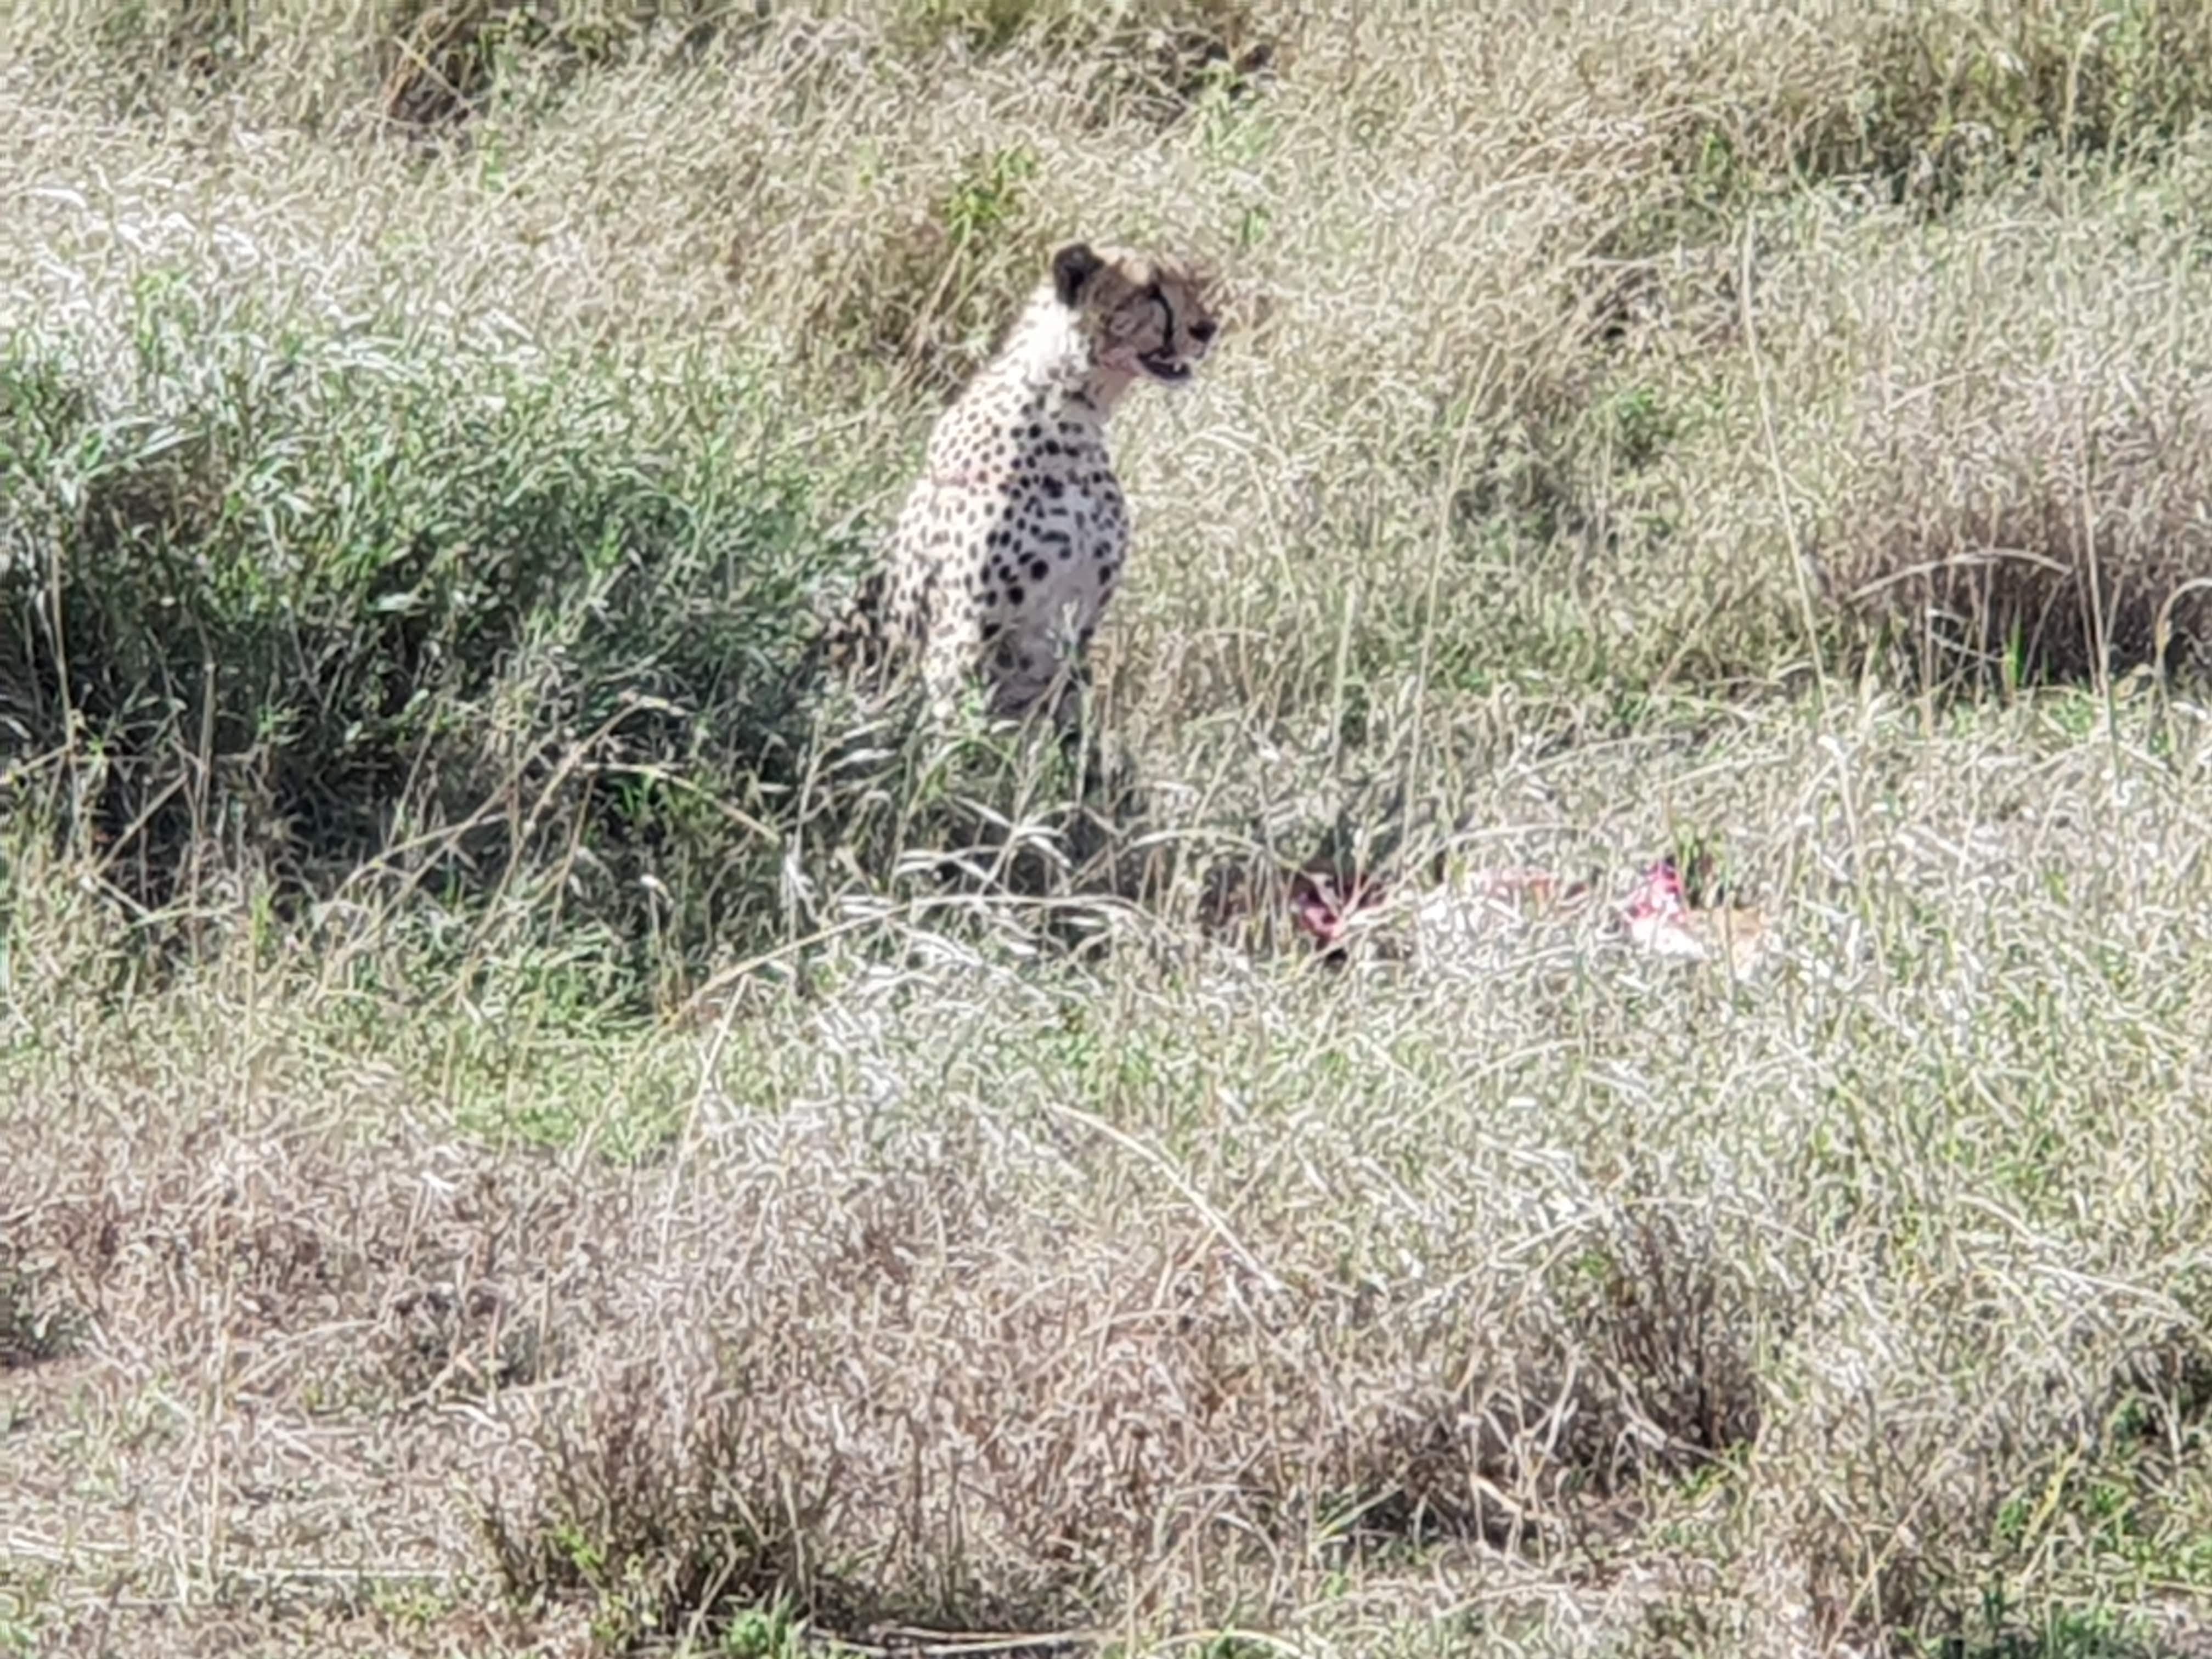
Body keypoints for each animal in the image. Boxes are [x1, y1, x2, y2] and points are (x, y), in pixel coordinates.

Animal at [826, 239, 1221, 729]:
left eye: (1191, 282)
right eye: (1150, 291)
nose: (1207, 328)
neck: (1072, 416)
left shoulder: (1078, 633)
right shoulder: (964, 630)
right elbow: (955, 737)